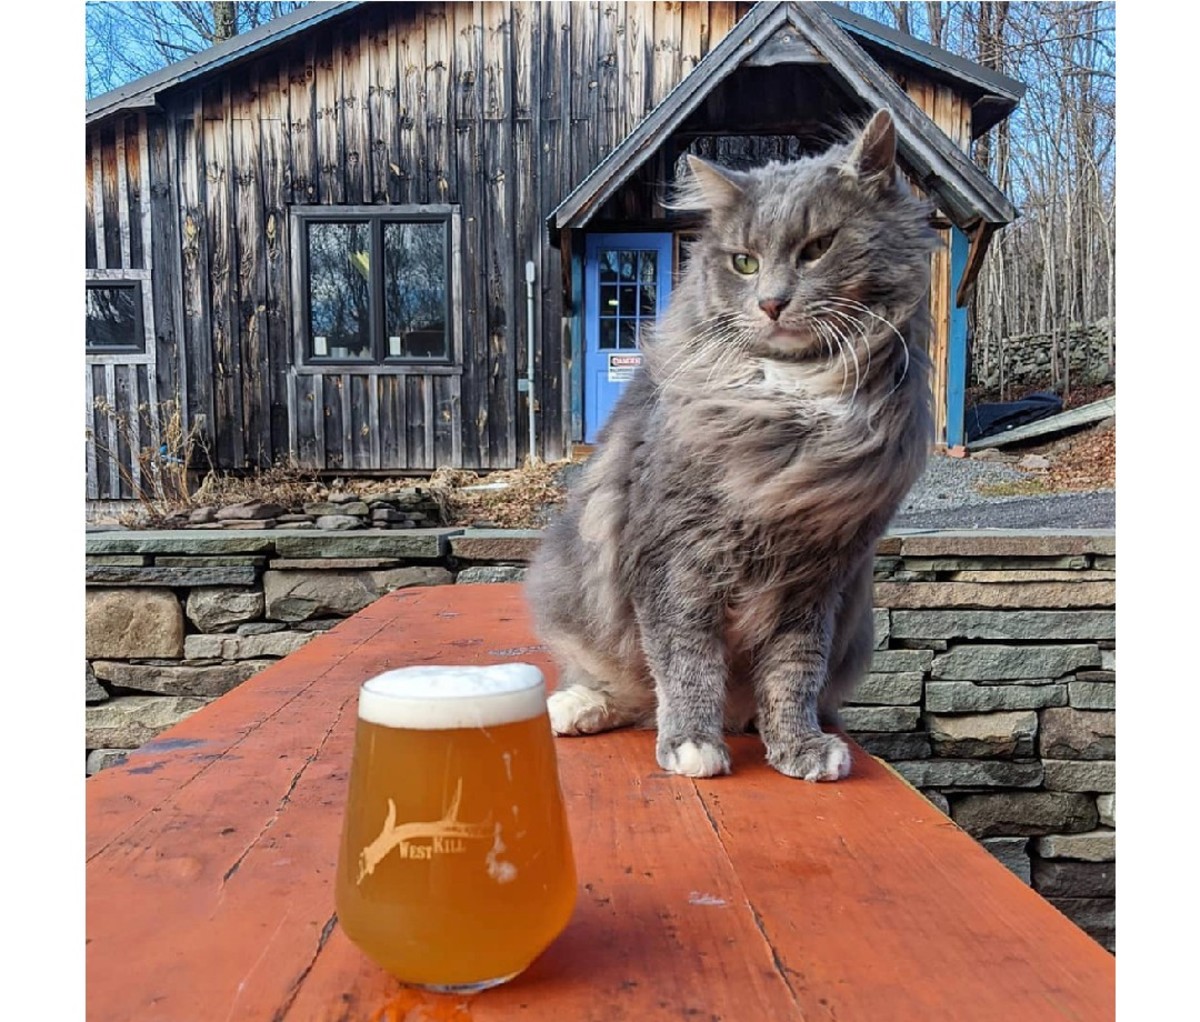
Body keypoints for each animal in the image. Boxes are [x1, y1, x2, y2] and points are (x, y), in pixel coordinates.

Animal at [525, 109, 936, 782]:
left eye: (817, 248)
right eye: (744, 262)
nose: (771, 302)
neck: (789, 405)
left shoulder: (816, 577)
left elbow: (792, 675)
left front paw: (798, 747)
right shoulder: (675, 559)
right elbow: (685, 662)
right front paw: (692, 743)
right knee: (628, 692)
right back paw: (578, 709)